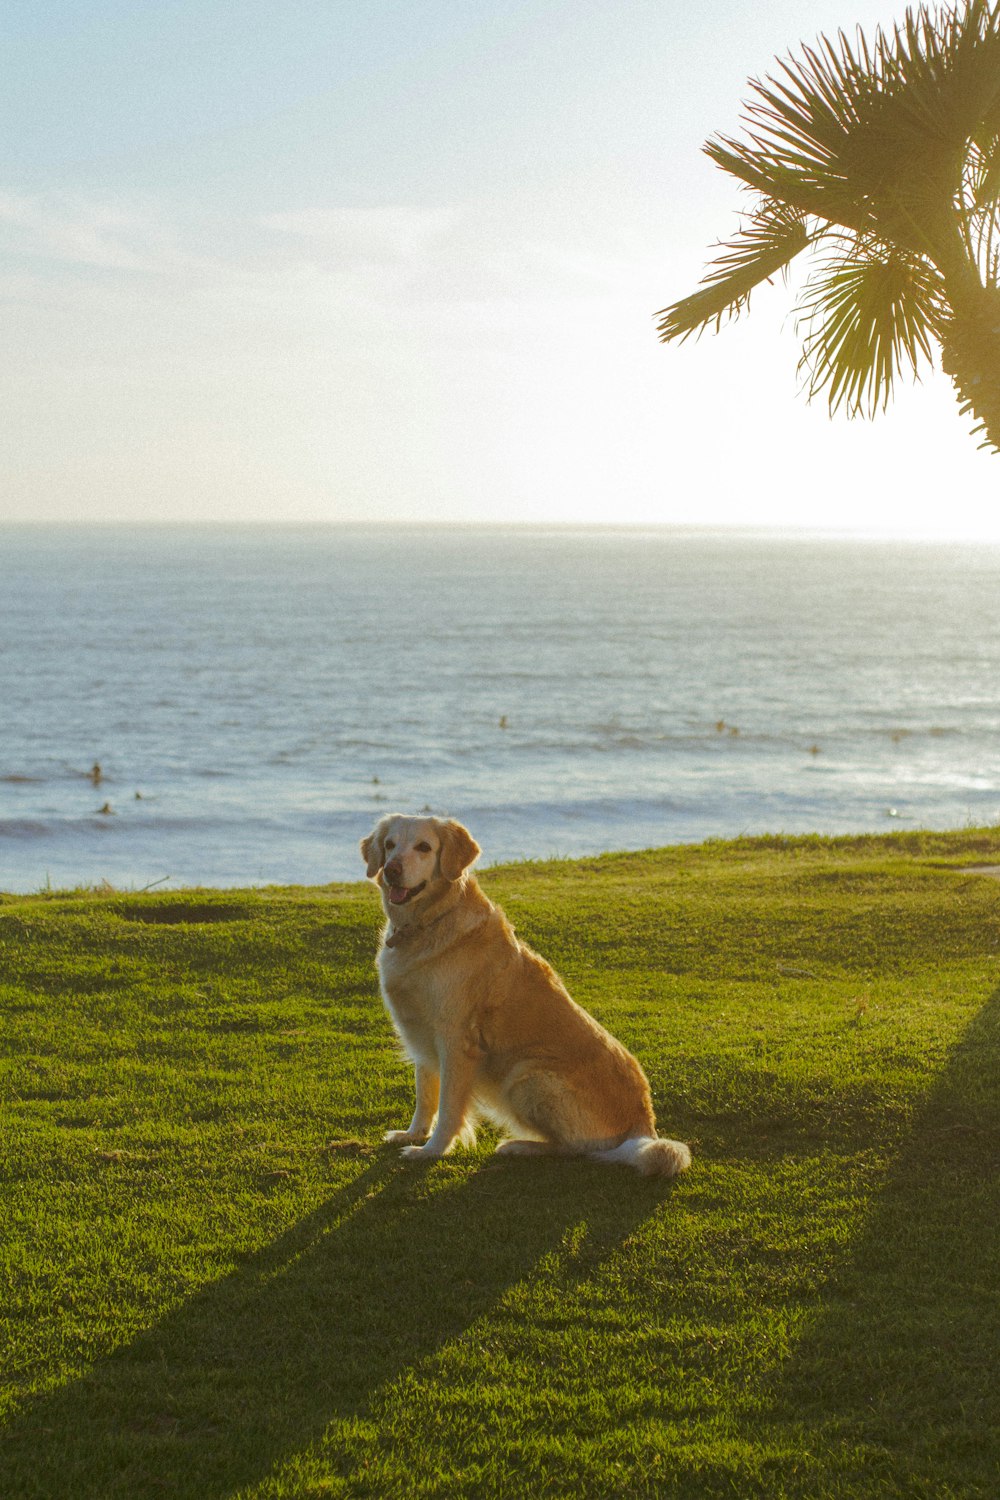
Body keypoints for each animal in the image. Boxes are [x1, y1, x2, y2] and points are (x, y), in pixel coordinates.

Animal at [361, 816, 695, 1176]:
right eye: (390, 845)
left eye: (424, 847)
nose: (392, 870)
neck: (430, 922)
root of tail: (644, 1123)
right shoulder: (420, 1035)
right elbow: (425, 1096)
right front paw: (413, 1134)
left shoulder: (456, 1041)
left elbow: (449, 1107)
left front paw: (432, 1150)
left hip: (527, 1076)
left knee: (573, 1150)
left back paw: (521, 1146)